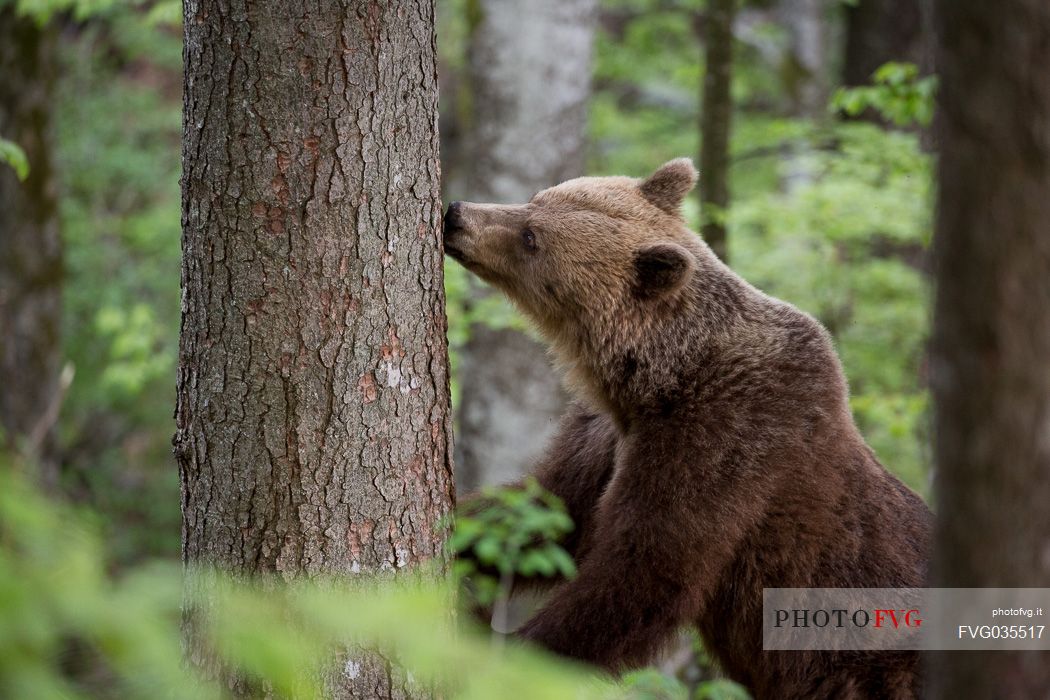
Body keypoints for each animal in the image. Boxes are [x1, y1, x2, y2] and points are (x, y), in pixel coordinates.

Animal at [440, 160, 928, 700]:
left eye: (531, 238)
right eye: (536, 200)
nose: (456, 214)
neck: (659, 380)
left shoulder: (724, 441)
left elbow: (645, 573)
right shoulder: (609, 436)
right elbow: (544, 511)